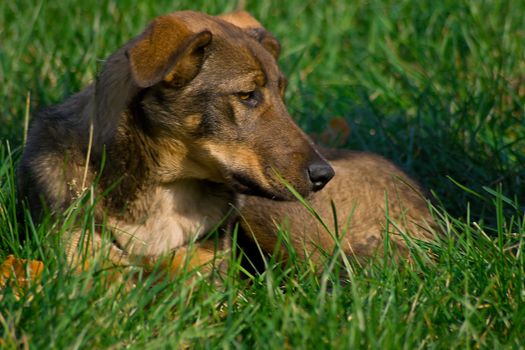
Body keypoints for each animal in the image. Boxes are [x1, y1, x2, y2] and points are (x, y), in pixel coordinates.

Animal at [16, 10, 434, 276]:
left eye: (282, 93)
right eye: (248, 96)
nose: (323, 176)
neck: (165, 191)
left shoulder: (208, 261)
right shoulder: (79, 254)